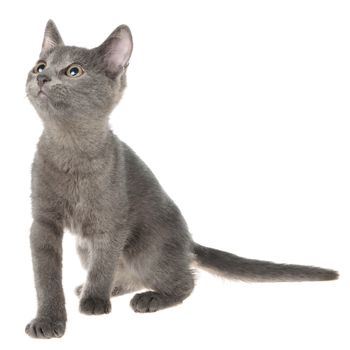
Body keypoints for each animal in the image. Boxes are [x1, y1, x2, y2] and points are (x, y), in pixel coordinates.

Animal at [25, 19, 340, 340]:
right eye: (40, 66)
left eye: (73, 71)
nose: (43, 78)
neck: (70, 149)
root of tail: (187, 242)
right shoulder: (43, 223)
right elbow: (46, 278)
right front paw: (48, 320)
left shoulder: (110, 223)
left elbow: (103, 265)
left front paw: (95, 301)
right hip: (85, 247)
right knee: (134, 275)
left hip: (146, 248)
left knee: (183, 280)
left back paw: (148, 297)